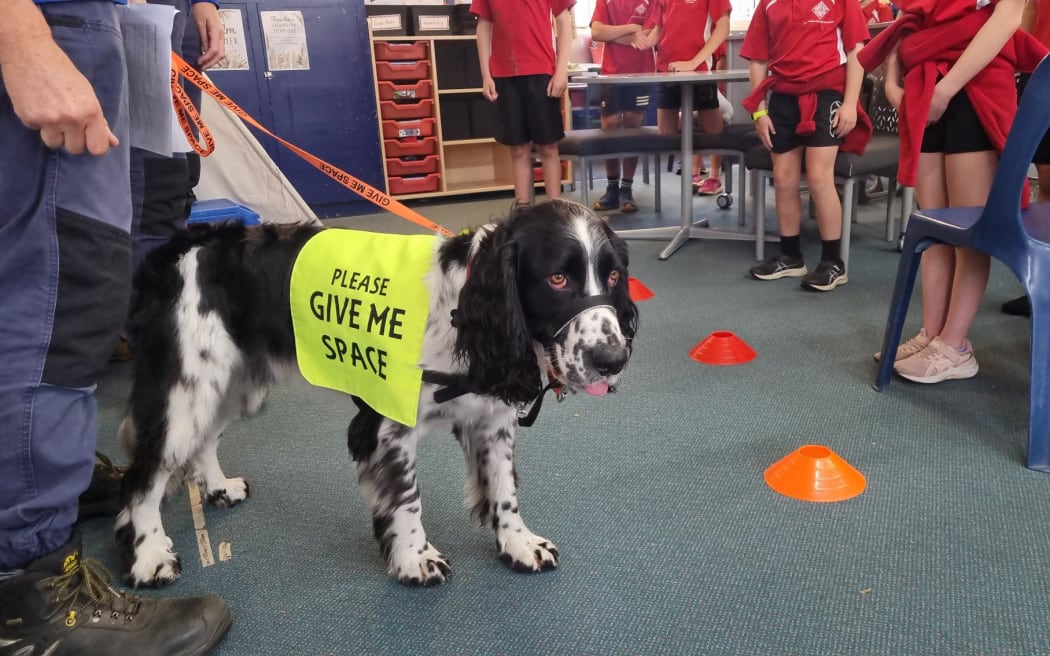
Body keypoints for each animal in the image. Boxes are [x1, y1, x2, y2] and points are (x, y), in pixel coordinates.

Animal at [116, 200, 638, 587]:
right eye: (557, 278)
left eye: (614, 276)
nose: (614, 359)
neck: (461, 310)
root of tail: (183, 246)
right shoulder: (385, 424)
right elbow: (406, 497)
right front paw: (414, 559)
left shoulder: (491, 419)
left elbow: (504, 489)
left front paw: (519, 545)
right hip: (186, 390)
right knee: (144, 476)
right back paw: (150, 557)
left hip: (232, 383)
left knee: (203, 441)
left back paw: (219, 487)